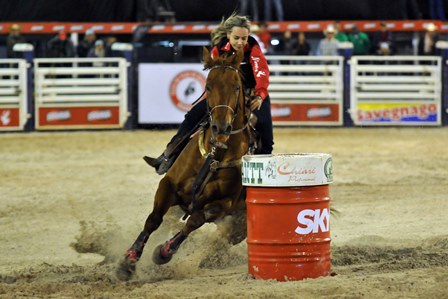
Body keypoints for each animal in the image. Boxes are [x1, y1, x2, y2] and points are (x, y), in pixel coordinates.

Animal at [116, 47, 252, 282]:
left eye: (236, 86)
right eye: (208, 86)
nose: (221, 127)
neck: (214, 156)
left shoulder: (223, 204)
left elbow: (194, 221)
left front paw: (163, 253)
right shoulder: (168, 186)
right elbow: (153, 220)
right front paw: (128, 262)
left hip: (237, 229)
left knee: (216, 243)